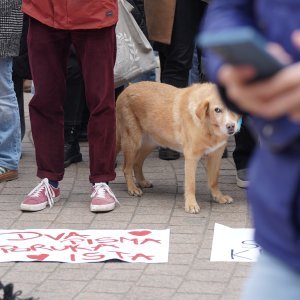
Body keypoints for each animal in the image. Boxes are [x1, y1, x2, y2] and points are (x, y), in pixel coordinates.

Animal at [116, 81, 240, 213]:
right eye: (217, 110)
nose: (231, 126)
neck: (208, 127)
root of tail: (129, 87)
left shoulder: (216, 155)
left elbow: (213, 180)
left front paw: (219, 196)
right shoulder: (191, 156)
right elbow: (191, 184)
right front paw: (191, 204)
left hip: (150, 143)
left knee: (137, 163)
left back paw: (142, 182)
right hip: (132, 142)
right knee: (126, 168)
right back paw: (132, 188)